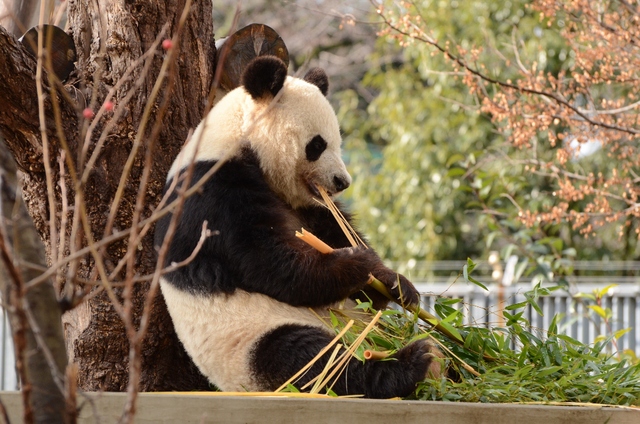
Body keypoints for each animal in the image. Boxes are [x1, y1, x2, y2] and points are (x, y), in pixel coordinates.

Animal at [153, 55, 442, 398]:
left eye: (338, 141)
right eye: (317, 145)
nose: (342, 182)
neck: (236, 140)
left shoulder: (306, 204)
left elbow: (333, 228)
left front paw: (392, 282)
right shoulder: (212, 195)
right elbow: (266, 260)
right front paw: (356, 263)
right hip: (253, 340)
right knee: (312, 358)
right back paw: (409, 364)